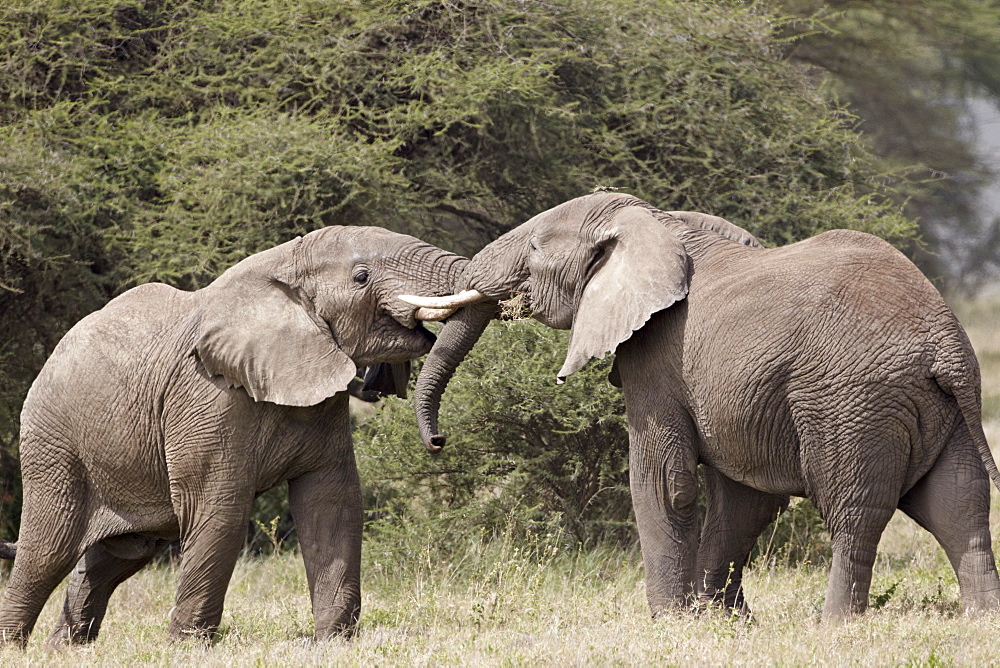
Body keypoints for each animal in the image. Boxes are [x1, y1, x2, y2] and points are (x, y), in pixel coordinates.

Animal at [0, 226, 468, 648]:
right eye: (362, 276)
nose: (438, 440)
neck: (284, 265)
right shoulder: (208, 396)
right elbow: (220, 510)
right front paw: (186, 649)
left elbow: (331, 504)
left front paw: (334, 644)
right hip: (53, 442)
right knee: (47, 551)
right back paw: (16, 647)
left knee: (117, 554)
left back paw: (65, 649)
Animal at [400, 192, 1000, 620]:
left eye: (532, 251)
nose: (438, 441)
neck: (657, 223)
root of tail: (944, 345)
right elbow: (744, 502)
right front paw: (724, 620)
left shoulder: (659, 353)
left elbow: (666, 482)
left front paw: (669, 621)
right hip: (940, 409)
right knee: (961, 507)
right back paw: (980, 621)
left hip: (851, 400)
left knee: (854, 513)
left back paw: (836, 625)